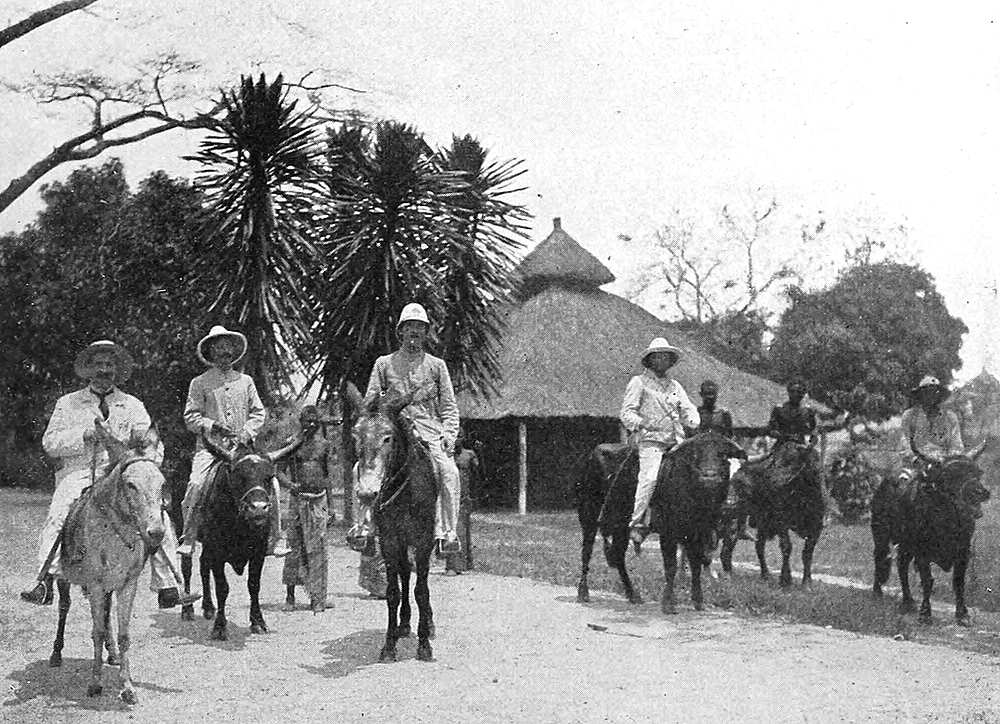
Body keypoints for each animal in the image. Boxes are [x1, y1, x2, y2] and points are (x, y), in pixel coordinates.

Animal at [49, 428, 166, 705]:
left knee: (106, 614)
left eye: (162, 483)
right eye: (131, 484)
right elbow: (97, 631)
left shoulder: (126, 585)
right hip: (65, 579)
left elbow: (123, 634)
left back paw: (111, 654)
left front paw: (127, 687)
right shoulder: (95, 585)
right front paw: (95, 683)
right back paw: (56, 654)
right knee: (64, 608)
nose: (156, 533)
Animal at [180, 435, 298, 640]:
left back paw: (208, 607)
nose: (258, 509)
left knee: (203, 565)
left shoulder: (258, 552)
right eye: (239, 476)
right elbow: (222, 588)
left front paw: (258, 622)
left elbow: (254, 585)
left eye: (269, 477)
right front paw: (220, 627)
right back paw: (187, 608)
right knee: (186, 566)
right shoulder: (217, 552)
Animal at [344, 383, 437, 663]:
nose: (366, 493)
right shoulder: (389, 540)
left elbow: (422, 590)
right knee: (405, 574)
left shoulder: (424, 540)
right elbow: (393, 592)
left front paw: (424, 645)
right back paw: (403, 625)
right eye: (355, 435)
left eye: (388, 437)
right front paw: (389, 645)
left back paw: (427, 625)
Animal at [574, 431, 745, 611]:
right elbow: (671, 566)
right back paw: (583, 592)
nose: (709, 477)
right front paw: (669, 603)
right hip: (589, 515)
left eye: (723, 455)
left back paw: (632, 594)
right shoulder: (668, 532)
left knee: (618, 556)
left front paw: (698, 600)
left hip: (621, 526)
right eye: (695, 454)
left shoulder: (698, 532)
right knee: (587, 551)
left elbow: (696, 564)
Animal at [722, 441, 824, 586]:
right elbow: (786, 547)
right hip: (738, 515)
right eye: (775, 461)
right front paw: (786, 580)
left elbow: (807, 553)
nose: (769, 480)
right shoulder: (781, 522)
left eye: (791, 461)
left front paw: (807, 583)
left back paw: (764, 575)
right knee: (733, 542)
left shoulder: (817, 525)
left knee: (757, 545)